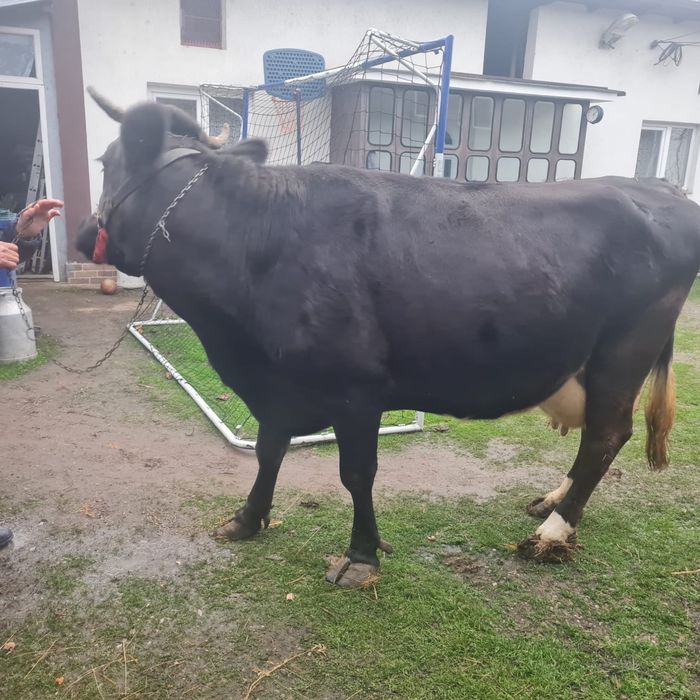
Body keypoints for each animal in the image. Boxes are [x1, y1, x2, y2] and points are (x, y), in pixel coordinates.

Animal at [78, 91, 700, 588]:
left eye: (105, 162)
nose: (85, 232)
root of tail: (661, 190)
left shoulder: (355, 389)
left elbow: (356, 474)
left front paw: (360, 557)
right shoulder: (279, 384)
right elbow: (269, 449)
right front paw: (248, 519)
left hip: (625, 350)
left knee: (606, 435)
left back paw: (554, 530)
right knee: (595, 436)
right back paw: (552, 499)